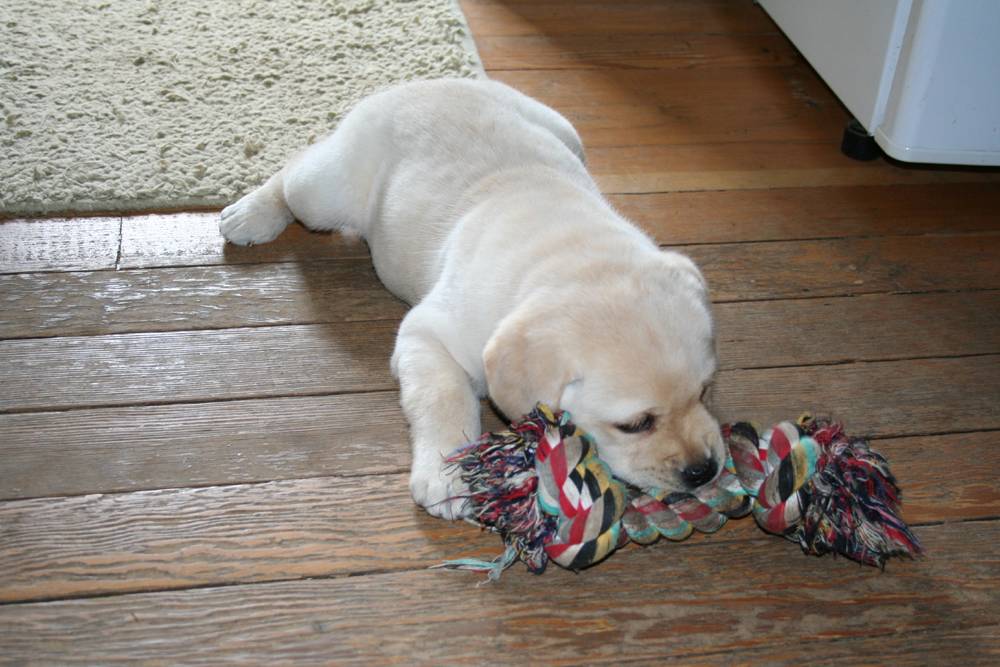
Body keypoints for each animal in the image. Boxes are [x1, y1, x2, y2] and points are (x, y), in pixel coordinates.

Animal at [221, 77, 720, 516]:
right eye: (635, 424)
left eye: (703, 391)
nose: (706, 470)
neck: (575, 258)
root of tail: (422, 82)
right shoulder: (425, 334)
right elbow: (443, 395)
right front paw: (448, 475)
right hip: (325, 191)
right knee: (295, 170)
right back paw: (250, 214)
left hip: (565, 130)